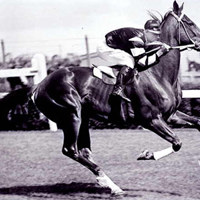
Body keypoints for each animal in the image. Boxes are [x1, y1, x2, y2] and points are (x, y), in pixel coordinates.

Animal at [32, 1, 200, 195]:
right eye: (189, 23)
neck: (159, 74)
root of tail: (38, 88)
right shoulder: (150, 119)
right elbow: (177, 142)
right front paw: (147, 154)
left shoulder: (171, 115)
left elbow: (197, 122)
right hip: (71, 115)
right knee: (71, 149)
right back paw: (111, 184)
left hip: (83, 118)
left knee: (84, 151)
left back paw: (105, 182)